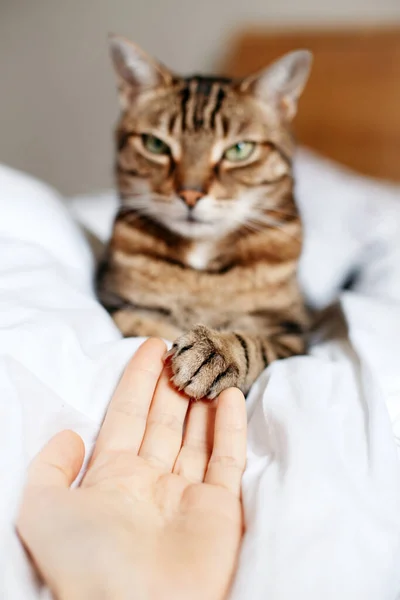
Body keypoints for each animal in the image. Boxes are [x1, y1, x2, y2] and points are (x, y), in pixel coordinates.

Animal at [97, 32, 312, 398]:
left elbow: (255, 343)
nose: (190, 194)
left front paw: (216, 350)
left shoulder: (293, 335)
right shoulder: (116, 303)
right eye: (155, 145)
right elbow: (141, 324)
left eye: (239, 150)